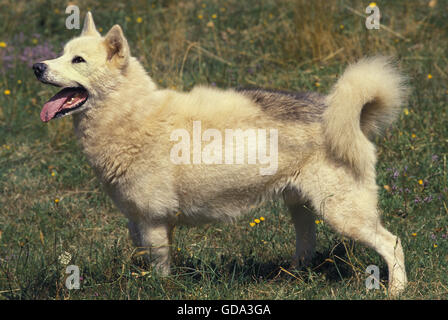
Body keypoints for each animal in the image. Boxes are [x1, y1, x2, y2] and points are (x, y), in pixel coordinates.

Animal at [32, 13, 410, 296]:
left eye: (78, 60)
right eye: (61, 54)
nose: (37, 66)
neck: (134, 116)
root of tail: (336, 113)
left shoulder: (154, 221)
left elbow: (160, 270)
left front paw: (159, 289)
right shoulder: (138, 221)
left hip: (343, 214)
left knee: (391, 242)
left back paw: (397, 289)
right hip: (301, 207)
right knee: (307, 246)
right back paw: (291, 278)